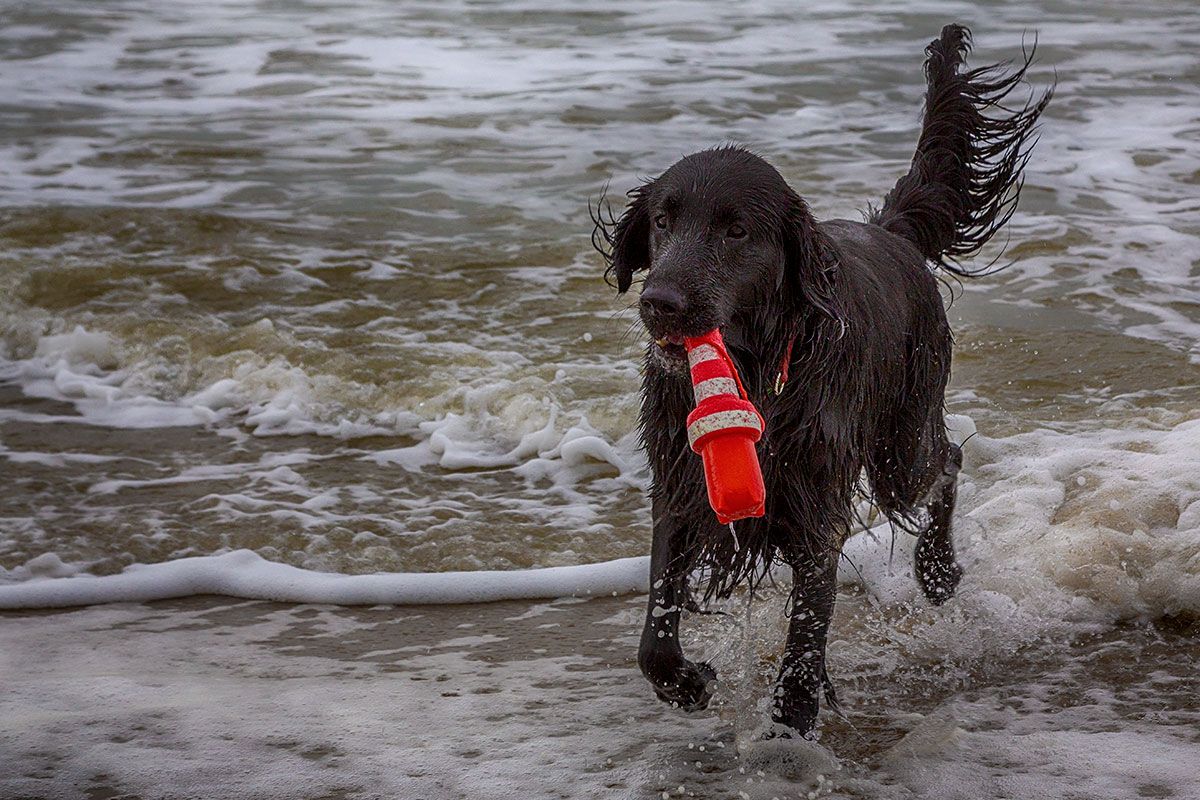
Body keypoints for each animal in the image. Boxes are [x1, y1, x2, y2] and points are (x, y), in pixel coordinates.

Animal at [595, 25, 1046, 738]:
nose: (660, 303)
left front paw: (792, 724)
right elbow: (656, 623)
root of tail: (891, 233)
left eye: (736, 229)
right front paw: (687, 682)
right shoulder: (681, 481)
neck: (758, 371)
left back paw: (938, 571)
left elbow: (808, 629)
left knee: (946, 459)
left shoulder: (815, 506)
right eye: (663, 220)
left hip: (899, 444)